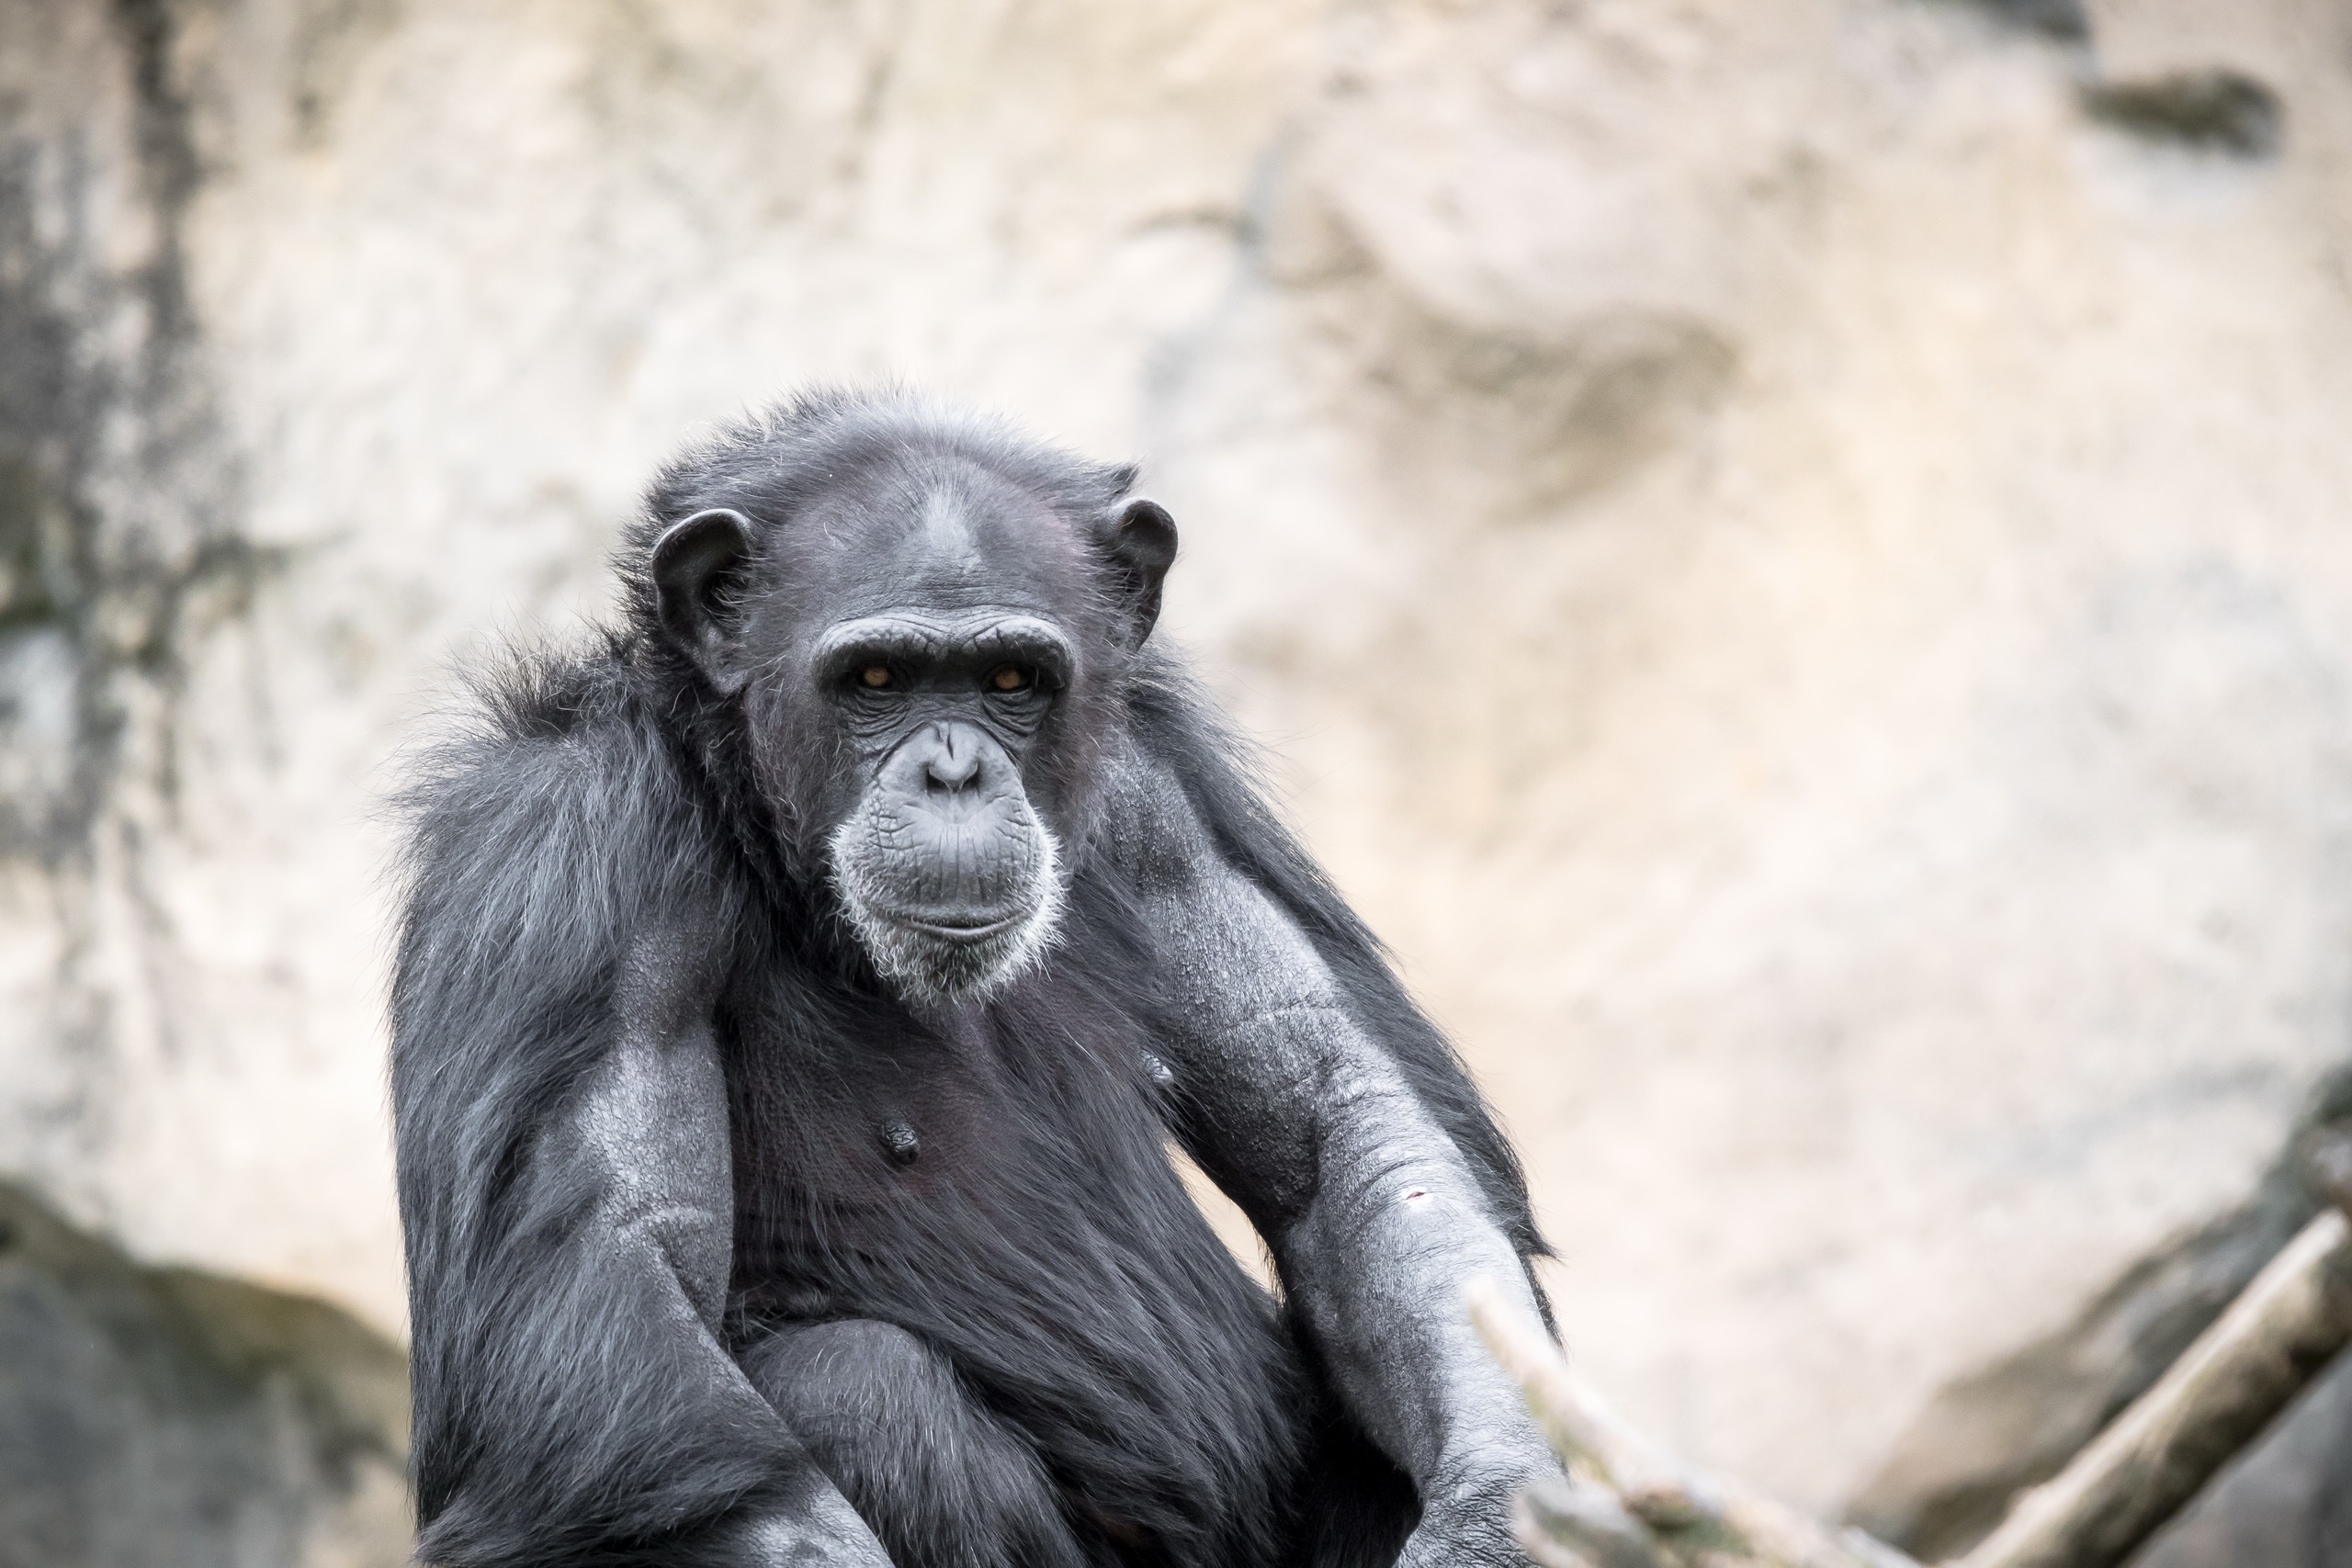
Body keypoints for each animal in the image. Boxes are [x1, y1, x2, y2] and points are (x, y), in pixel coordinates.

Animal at [388, 383, 1561, 1568]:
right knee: (853, 1386)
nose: (953, 771)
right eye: (875, 678)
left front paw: (1495, 1512)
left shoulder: (1161, 799)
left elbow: (1350, 1129)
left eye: (1009, 679)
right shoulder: (565, 856)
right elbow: (620, 1292)